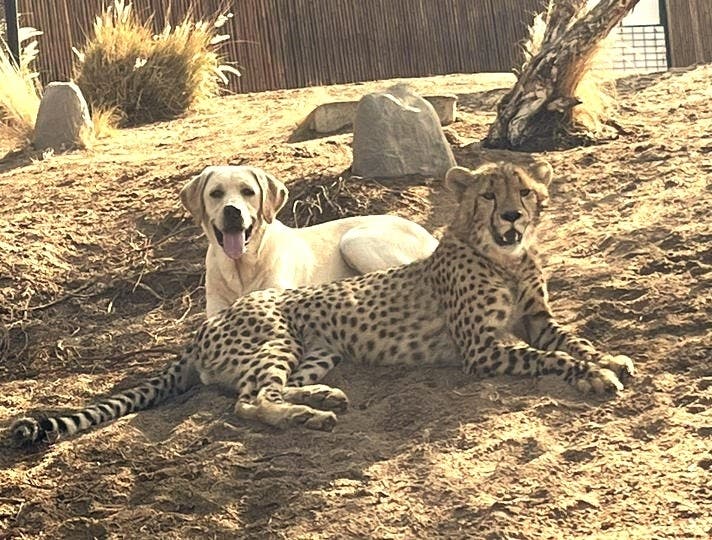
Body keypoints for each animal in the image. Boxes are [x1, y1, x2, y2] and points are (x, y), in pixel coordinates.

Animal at [10, 160, 635, 445]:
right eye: (488, 194)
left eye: (524, 192)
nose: (511, 216)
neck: (503, 255)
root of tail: (202, 331)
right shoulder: (482, 348)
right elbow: (553, 357)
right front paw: (594, 374)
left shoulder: (537, 320)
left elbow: (572, 338)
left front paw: (610, 358)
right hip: (276, 335)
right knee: (248, 402)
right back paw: (307, 415)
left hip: (318, 347)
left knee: (260, 391)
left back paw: (320, 396)